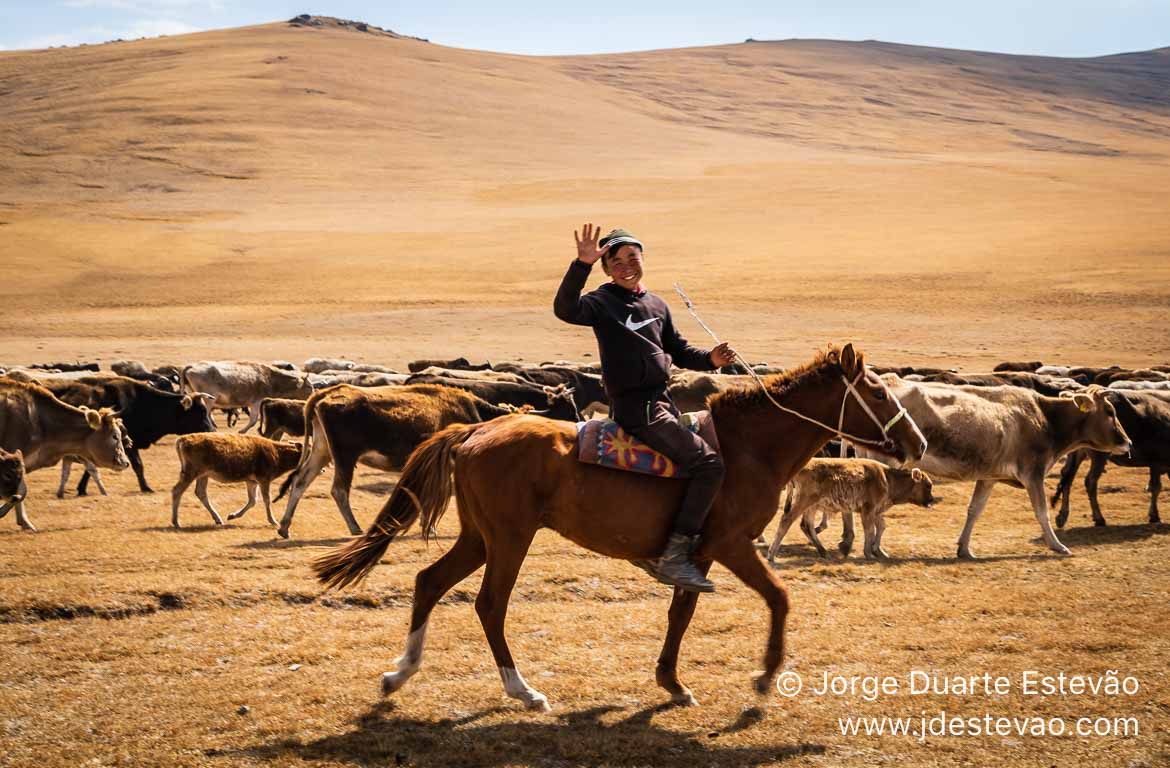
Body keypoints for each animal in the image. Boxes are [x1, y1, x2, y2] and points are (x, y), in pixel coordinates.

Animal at [171, 430, 304, 529]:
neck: (278, 454)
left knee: (200, 492)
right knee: (177, 490)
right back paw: (176, 522)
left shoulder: (252, 481)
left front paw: (232, 515)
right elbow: (266, 499)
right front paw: (273, 521)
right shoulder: (264, 479)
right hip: (191, 472)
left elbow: (252, 500)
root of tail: (182, 440)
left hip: (203, 475)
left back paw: (218, 519)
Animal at [767, 458, 931, 561]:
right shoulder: (868, 509)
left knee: (807, 525)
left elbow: (881, 526)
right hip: (804, 501)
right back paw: (771, 555)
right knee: (787, 520)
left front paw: (880, 552)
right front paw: (868, 553)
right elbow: (869, 530)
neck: (887, 478)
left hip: (811, 506)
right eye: (928, 485)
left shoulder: (875, 511)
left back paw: (824, 552)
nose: (931, 500)